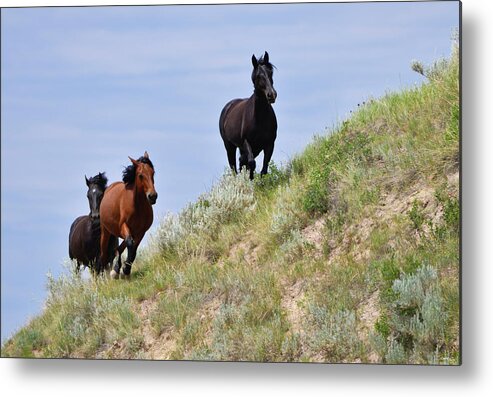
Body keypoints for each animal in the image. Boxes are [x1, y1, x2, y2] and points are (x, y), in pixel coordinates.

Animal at [219, 50, 276, 179]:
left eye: (271, 72)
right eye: (258, 75)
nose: (271, 95)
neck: (260, 118)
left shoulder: (270, 143)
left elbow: (264, 168)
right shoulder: (246, 142)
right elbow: (251, 163)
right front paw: (250, 179)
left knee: (241, 162)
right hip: (229, 146)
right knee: (234, 166)